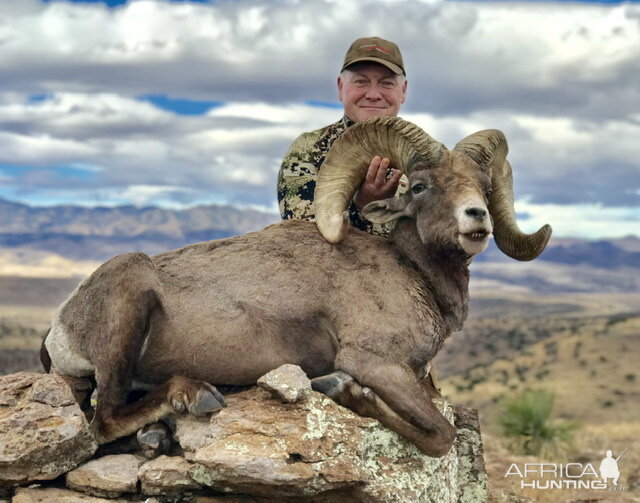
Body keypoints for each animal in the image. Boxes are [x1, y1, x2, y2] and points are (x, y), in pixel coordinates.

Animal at [41, 116, 552, 458]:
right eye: (421, 186)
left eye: (485, 187)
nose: (477, 219)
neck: (413, 272)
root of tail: (60, 327)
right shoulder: (374, 362)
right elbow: (441, 435)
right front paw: (344, 392)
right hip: (130, 300)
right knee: (104, 420)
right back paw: (195, 395)